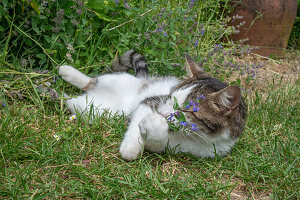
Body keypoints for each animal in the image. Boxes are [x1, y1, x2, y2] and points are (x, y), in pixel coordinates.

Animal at [58, 50, 246, 161]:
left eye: (184, 110)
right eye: (169, 98)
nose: (162, 113)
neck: (200, 138)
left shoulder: (179, 147)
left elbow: (156, 141)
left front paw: (154, 127)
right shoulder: (151, 101)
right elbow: (137, 123)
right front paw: (130, 148)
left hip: (97, 110)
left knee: (75, 101)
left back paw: (60, 96)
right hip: (117, 81)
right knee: (92, 81)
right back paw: (66, 73)